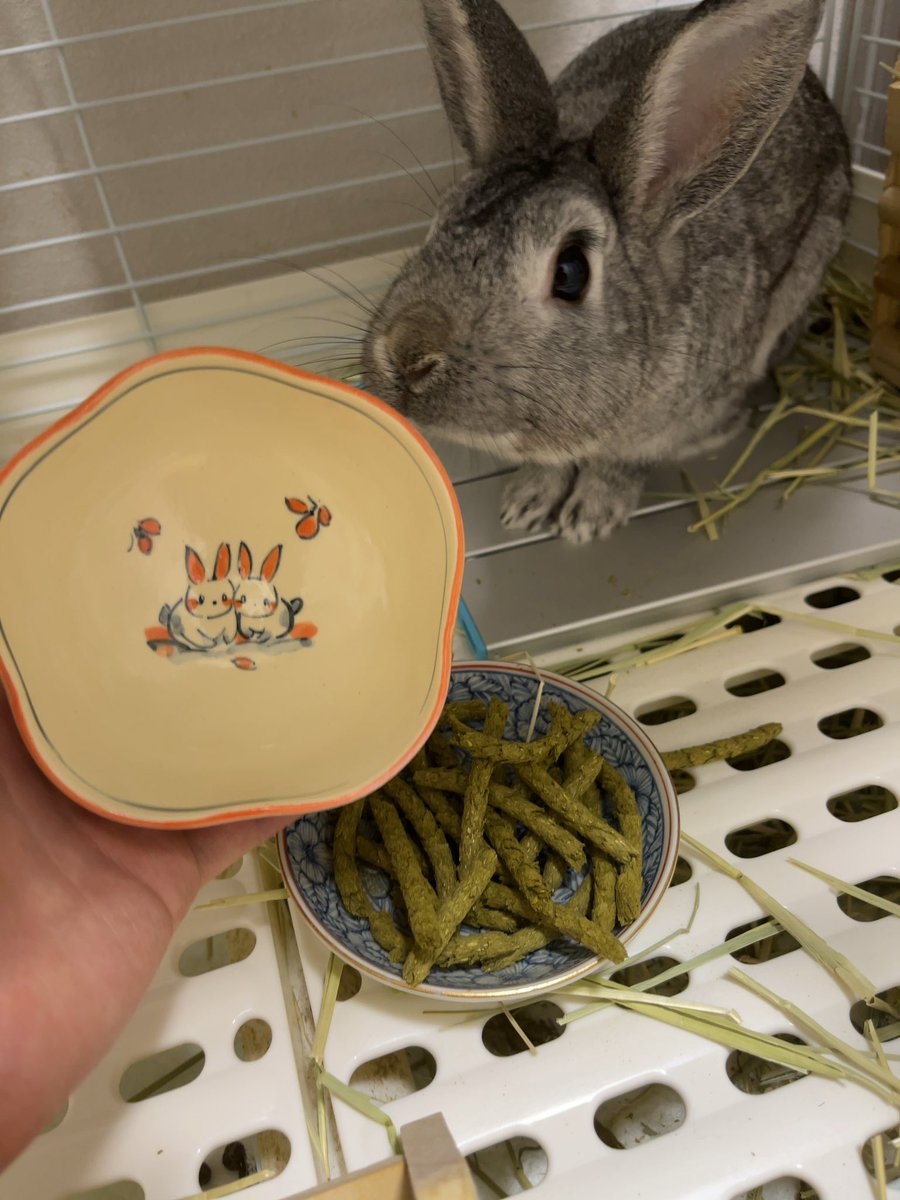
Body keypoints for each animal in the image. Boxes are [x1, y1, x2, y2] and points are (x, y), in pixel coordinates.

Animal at [362, 0, 852, 543]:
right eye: (437, 224)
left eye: (570, 272)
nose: (408, 353)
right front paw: (526, 504)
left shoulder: (666, 424)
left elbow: (623, 463)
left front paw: (590, 518)